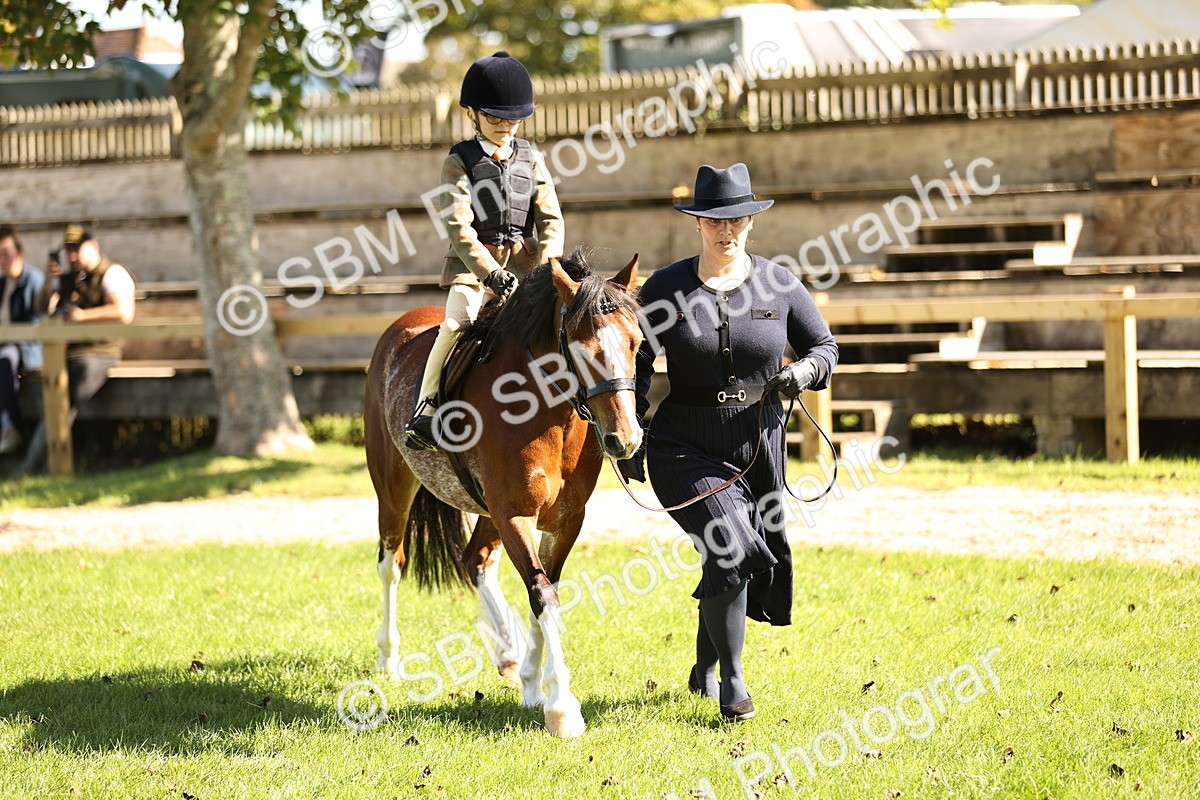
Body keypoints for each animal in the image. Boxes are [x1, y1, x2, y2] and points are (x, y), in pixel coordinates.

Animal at [364, 248, 643, 738]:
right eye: (583, 351)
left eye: (635, 344)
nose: (625, 440)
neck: (547, 412)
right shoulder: (514, 513)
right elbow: (542, 594)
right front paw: (563, 707)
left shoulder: (564, 521)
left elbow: (545, 592)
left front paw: (534, 683)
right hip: (395, 489)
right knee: (391, 565)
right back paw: (390, 657)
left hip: (485, 510)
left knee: (475, 560)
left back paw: (508, 652)